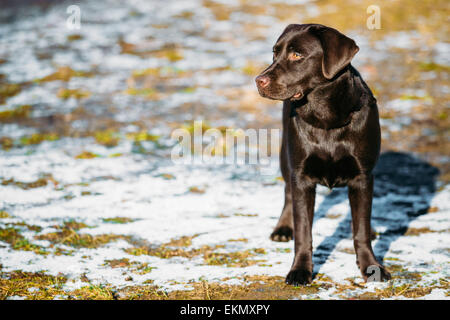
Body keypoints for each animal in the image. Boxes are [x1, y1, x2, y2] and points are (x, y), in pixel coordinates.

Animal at [256, 24, 390, 284]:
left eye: (297, 55)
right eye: (274, 53)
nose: (258, 80)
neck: (326, 118)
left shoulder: (362, 176)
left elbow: (360, 229)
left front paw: (371, 266)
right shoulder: (302, 177)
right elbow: (303, 231)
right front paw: (300, 270)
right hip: (286, 158)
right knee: (288, 193)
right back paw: (283, 229)